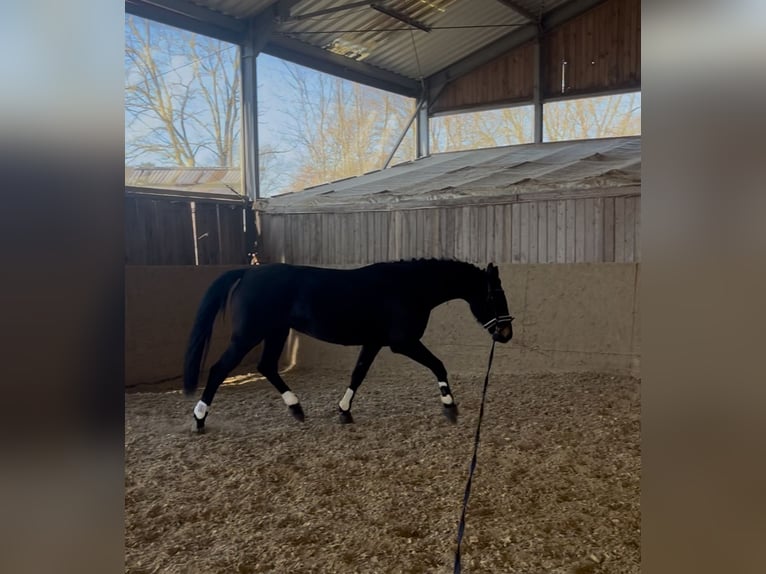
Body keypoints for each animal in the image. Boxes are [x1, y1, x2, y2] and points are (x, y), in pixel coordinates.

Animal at [183, 259, 514, 432]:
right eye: (494, 295)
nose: (506, 333)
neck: (408, 287)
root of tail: (248, 271)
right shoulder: (403, 342)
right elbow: (438, 365)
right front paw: (450, 407)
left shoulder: (374, 342)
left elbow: (358, 374)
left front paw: (344, 412)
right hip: (249, 335)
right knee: (218, 370)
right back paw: (199, 419)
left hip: (276, 332)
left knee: (267, 366)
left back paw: (297, 409)